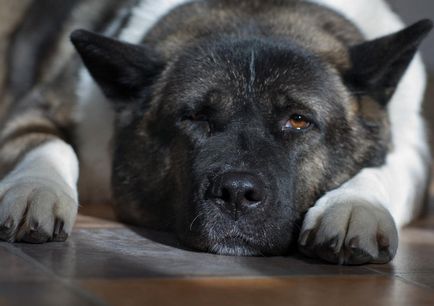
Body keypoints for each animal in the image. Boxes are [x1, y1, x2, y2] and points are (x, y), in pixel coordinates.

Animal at [0, 0, 430, 264]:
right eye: (194, 117)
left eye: (298, 120)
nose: (236, 194)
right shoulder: (35, 112)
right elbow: (50, 144)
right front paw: (36, 190)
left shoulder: (415, 153)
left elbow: (385, 169)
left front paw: (354, 207)